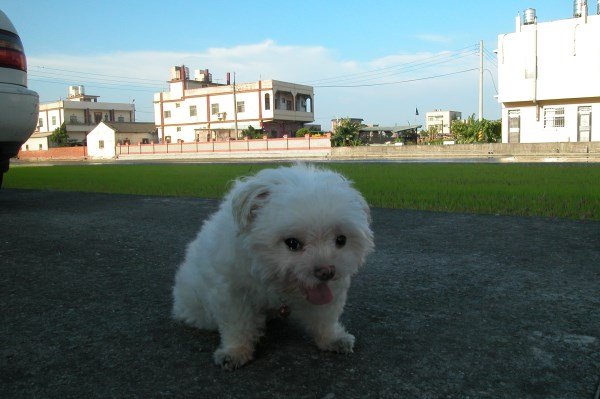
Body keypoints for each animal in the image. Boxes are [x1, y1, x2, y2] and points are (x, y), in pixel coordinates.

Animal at [171, 164, 372, 370]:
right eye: (292, 243)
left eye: (341, 240)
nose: (326, 272)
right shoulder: (232, 292)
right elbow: (237, 325)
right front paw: (235, 351)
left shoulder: (330, 289)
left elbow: (325, 316)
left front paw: (332, 338)